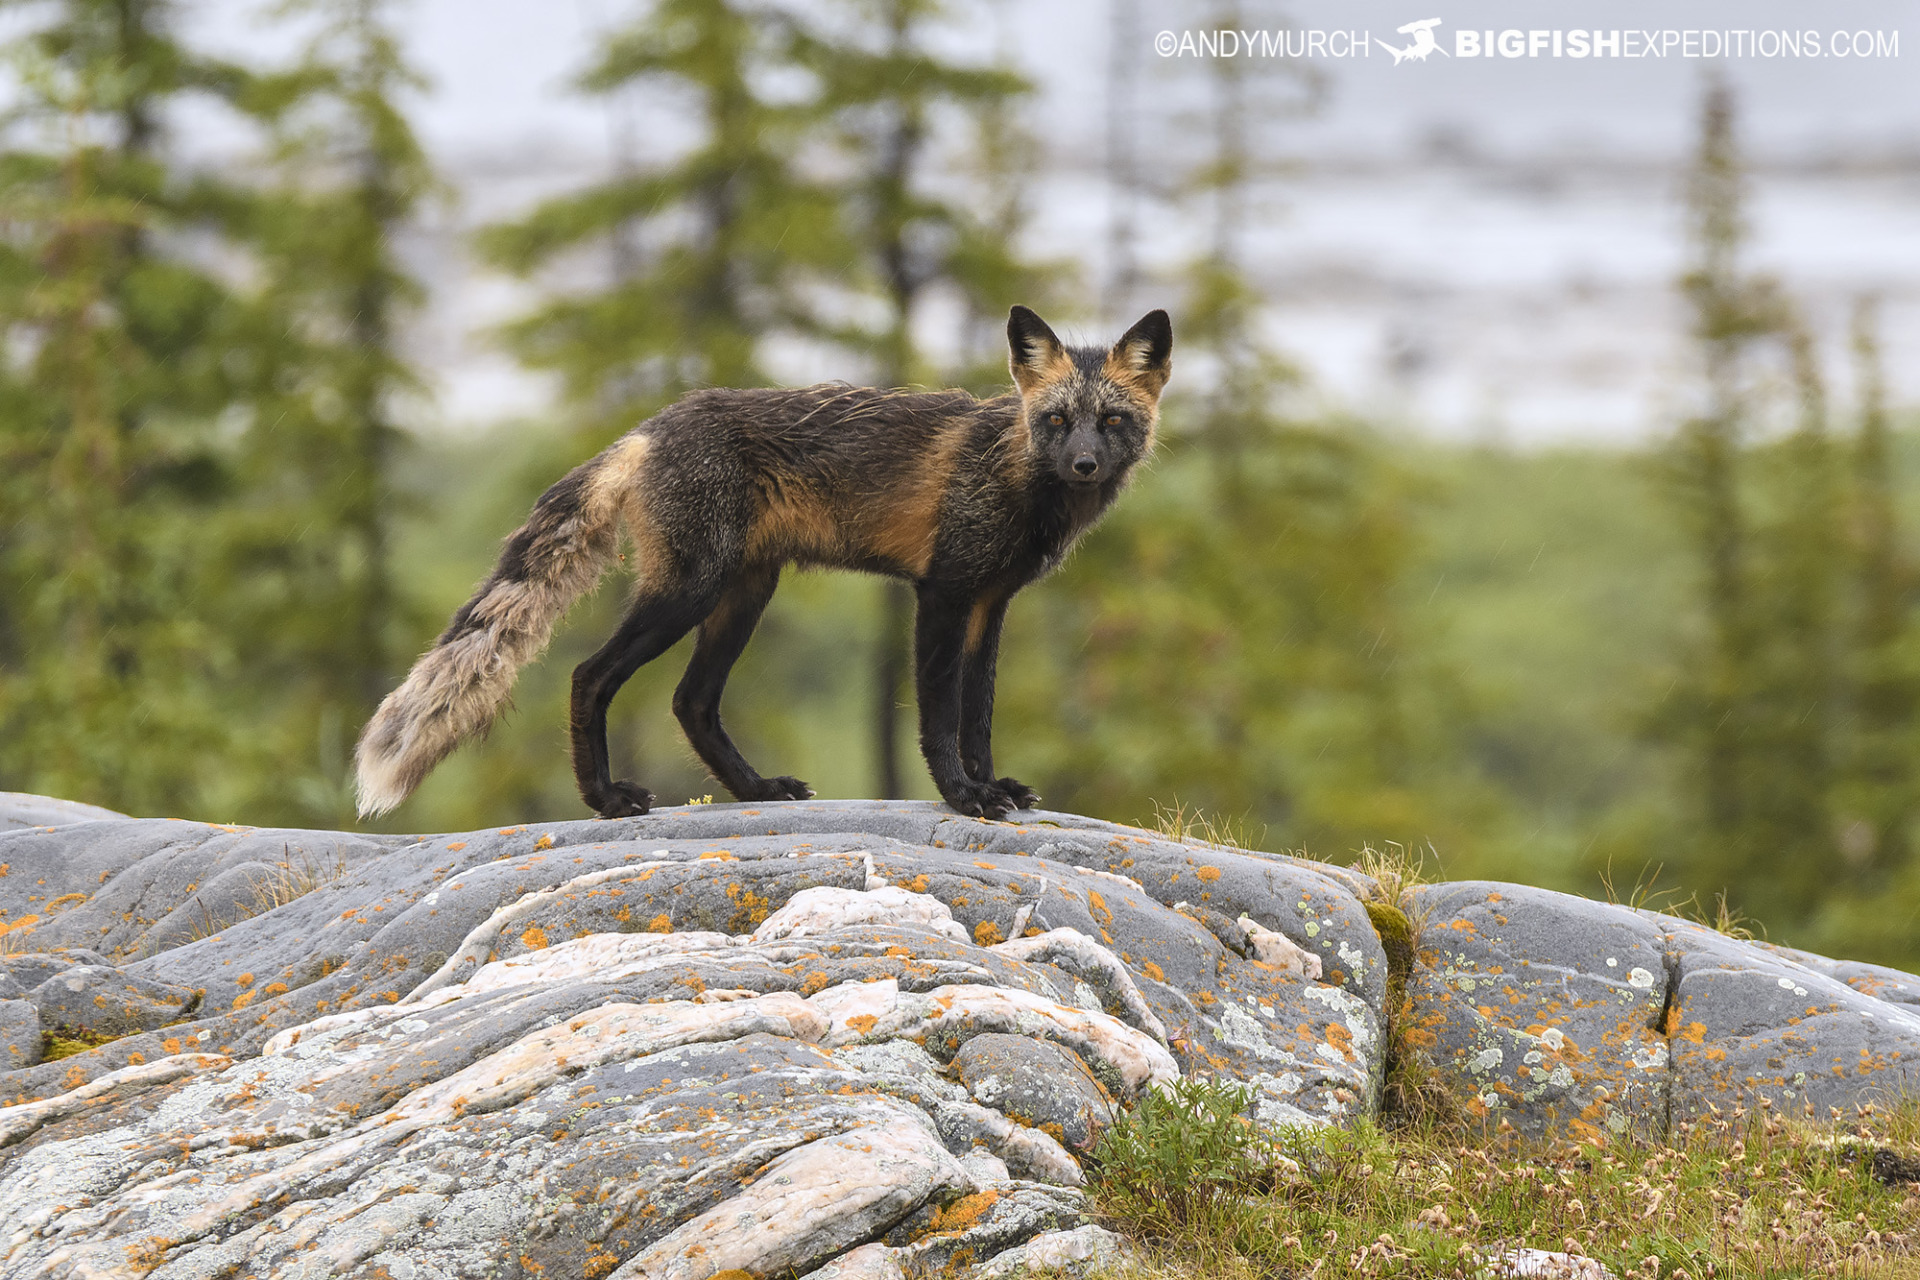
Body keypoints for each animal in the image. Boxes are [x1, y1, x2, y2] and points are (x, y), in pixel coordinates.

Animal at [355, 305, 1175, 821]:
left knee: (690, 701)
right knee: (590, 675)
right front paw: (962, 797)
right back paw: (606, 800)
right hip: (689, 591)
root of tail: (651, 426)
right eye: (1057, 420)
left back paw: (753, 791)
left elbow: (979, 718)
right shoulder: (941, 595)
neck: (1012, 477)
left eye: (1112, 420)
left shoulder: (989, 605)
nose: (1083, 465)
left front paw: (990, 784)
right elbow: (941, 720)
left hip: (743, 595)